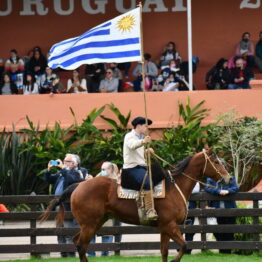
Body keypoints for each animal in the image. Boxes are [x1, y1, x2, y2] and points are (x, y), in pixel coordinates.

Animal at [41, 148, 231, 260]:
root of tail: (79, 185)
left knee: (78, 242)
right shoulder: (170, 226)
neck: (174, 187)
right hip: (89, 224)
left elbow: (164, 251)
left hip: (96, 223)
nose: (228, 178)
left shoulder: (165, 228)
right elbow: (183, 246)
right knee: (81, 246)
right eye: (216, 162)